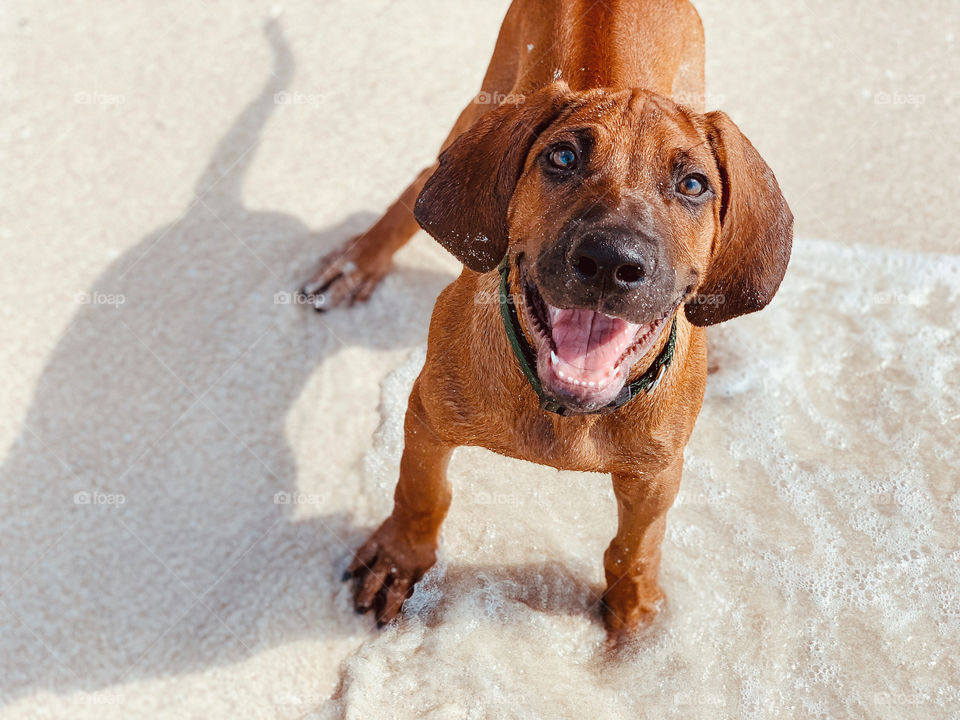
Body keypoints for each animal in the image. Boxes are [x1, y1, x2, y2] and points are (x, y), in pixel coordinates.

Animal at [304, 0, 792, 640]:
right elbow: (421, 491)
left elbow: (637, 545)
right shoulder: (428, 412)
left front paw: (635, 615)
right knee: (419, 179)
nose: (611, 261)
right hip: (482, 97)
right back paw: (358, 262)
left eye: (693, 184)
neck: (565, 410)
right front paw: (398, 559)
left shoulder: (659, 472)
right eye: (562, 157)